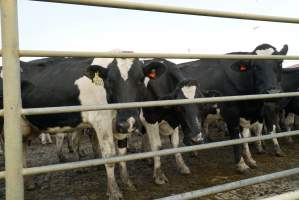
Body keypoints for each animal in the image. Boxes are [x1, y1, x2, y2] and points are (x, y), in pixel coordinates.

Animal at [0, 55, 169, 200]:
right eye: (110, 81)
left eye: (141, 80)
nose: (127, 122)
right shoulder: (102, 121)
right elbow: (109, 156)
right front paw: (114, 191)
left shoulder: (121, 125)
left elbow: (122, 154)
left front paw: (127, 183)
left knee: (21, 152)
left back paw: (29, 183)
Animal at [178, 43, 288, 173]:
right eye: (255, 66)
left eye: (280, 62)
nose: (273, 92)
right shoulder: (231, 113)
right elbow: (236, 137)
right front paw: (241, 165)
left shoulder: (248, 115)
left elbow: (245, 137)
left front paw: (250, 160)